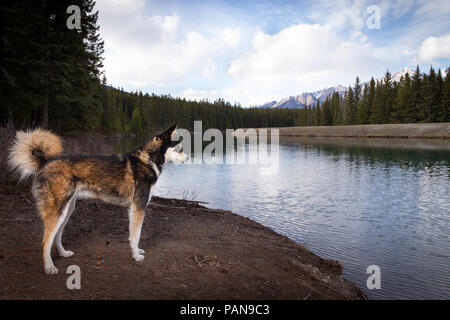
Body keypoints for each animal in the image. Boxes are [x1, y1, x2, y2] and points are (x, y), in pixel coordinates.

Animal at [8, 124, 188, 274]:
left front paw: (135, 251)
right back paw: (49, 267)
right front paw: (136, 256)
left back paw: (63, 253)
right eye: (179, 149)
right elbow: (137, 234)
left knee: (56, 236)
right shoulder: (139, 207)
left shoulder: (133, 209)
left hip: (67, 211)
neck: (148, 160)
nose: (188, 159)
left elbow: (132, 235)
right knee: (45, 242)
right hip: (58, 212)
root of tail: (45, 162)